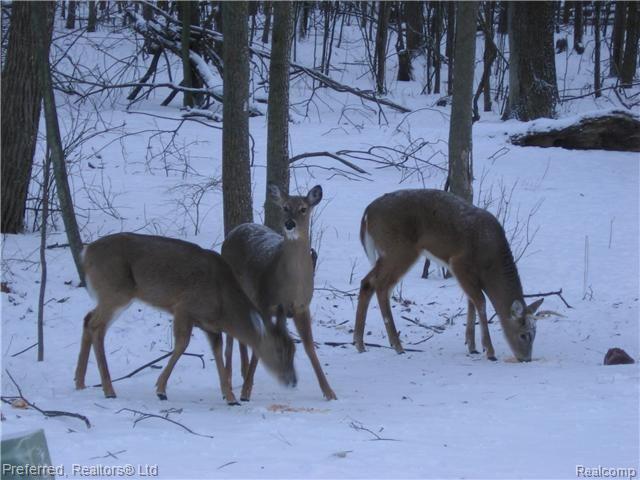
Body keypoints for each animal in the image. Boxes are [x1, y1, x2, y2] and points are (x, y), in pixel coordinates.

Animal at [74, 232, 297, 405]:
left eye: (294, 349)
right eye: (279, 350)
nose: (292, 381)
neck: (224, 305)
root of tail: (86, 253)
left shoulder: (211, 326)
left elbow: (217, 351)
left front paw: (230, 396)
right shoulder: (183, 308)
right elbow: (182, 344)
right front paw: (161, 389)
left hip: (112, 294)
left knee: (87, 319)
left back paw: (80, 382)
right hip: (115, 290)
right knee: (96, 326)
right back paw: (108, 390)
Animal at [221, 184, 337, 401]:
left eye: (303, 208)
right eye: (285, 207)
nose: (289, 224)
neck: (291, 286)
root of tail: (234, 231)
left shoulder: (302, 307)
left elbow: (310, 347)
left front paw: (329, 392)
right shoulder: (266, 302)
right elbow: (262, 344)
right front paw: (245, 392)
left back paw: (243, 371)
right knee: (231, 335)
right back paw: (230, 382)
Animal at [354, 189, 545, 362]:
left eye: (535, 334)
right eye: (524, 335)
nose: (526, 359)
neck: (490, 264)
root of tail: (367, 213)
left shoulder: (471, 275)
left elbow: (471, 302)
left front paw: (472, 345)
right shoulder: (458, 263)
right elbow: (480, 301)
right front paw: (489, 351)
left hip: (389, 253)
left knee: (367, 282)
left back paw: (360, 344)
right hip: (399, 249)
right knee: (382, 286)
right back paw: (397, 346)